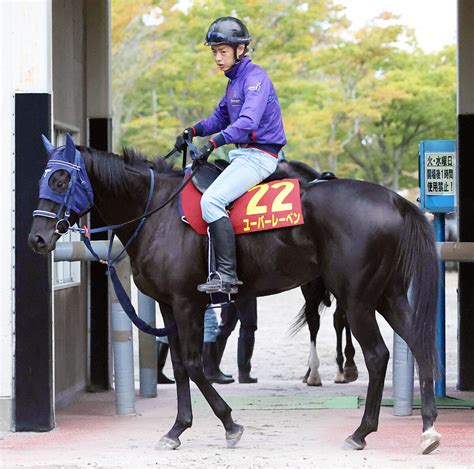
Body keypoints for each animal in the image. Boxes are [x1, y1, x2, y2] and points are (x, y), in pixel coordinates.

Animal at [28, 137, 440, 456]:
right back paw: (428, 428)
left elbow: (194, 364)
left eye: (62, 178)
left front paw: (229, 424)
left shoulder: (186, 303)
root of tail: (396, 201)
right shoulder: (168, 305)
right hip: (387, 295)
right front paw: (178, 429)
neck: (156, 212)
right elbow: (180, 366)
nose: (37, 238)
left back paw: (360, 432)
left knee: (378, 355)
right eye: (44, 177)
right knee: (419, 343)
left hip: (357, 299)